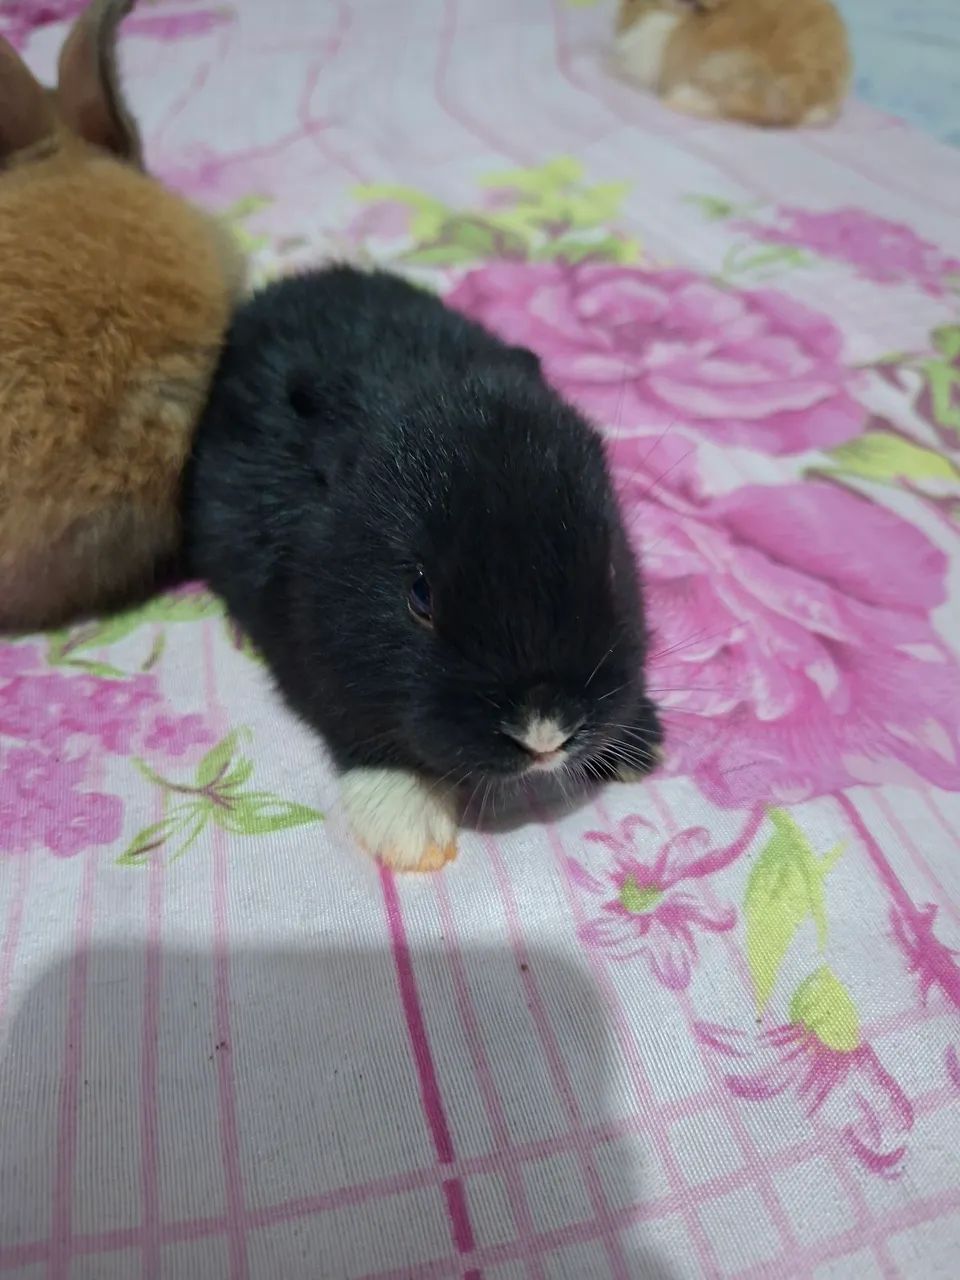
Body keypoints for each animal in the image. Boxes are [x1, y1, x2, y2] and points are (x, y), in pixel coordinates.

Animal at [182, 266, 664, 873]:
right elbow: (353, 722)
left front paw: (641, 742)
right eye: (419, 596)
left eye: (611, 567)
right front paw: (407, 821)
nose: (545, 733)